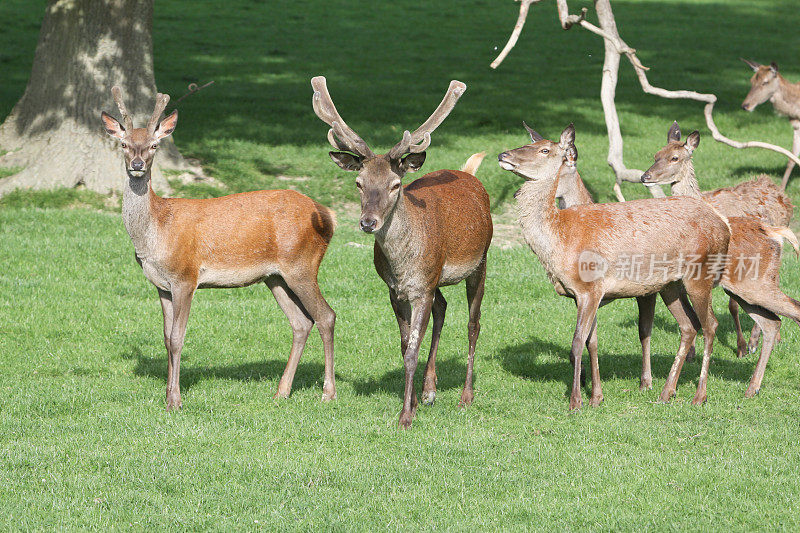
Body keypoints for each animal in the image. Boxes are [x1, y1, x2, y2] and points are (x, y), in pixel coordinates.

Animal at [101, 88, 338, 412]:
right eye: (124, 144)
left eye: (153, 145)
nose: (137, 165)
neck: (156, 232)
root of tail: (329, 215)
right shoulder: (161, 285)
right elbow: (165, 339)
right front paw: (167, 395)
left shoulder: (186, 276)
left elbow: (178, 338)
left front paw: (175, 401)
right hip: (275, 276)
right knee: (301, 322)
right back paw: (281, 392)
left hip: (302, 265)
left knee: (326, 316)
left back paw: (328, 393)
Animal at [310, 76, 490, 428]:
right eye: (358, 182)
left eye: (395, 184)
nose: (368, 222)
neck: (403, 262)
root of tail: (470, 175)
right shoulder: (397, 289)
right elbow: (406, 343)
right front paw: (416, 402)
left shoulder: (422, 287)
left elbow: (412, 351)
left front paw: (405, 416)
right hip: (436, 279)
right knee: (442, 307)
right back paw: (431, 390)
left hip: (480, 262)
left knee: (473, 324)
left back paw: (466, 396)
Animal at [500, 123, 732, 408]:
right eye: (527, 143)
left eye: (544, 150)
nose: (503, 154)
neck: (560, 240)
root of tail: (724, 226)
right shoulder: (581, 295)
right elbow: (591, 342)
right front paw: (596, 397)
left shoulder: (590, 288)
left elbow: (577, 343)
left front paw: (576, 401)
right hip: (670, 285)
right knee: (689, 326)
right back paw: (666, 392)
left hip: (700, 274)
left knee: (710, 325)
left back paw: (699, 396)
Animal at [640, 124, 800, 396]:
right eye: (655, 154)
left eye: (675, 157)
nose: (645, 176)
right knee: (772, 320)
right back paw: (752, 384)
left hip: (758, 283)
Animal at [740, 58, 800, 189]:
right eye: (752, 80)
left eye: (765, 82)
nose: (745, 106)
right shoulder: (796, 127)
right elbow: (791, 158)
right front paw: (782, 189)